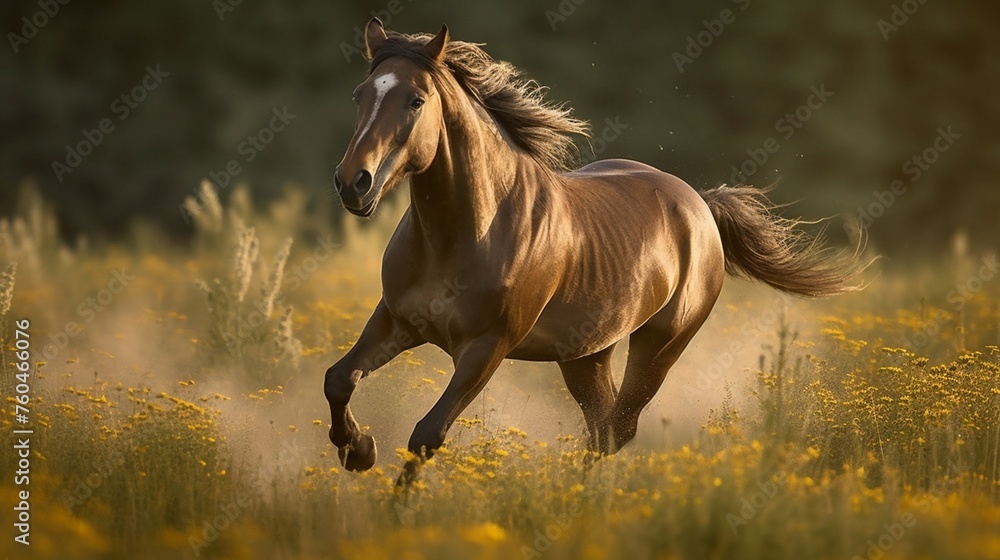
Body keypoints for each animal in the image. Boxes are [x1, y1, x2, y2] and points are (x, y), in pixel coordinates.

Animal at [325, 18, 861, 480]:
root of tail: (699, 205)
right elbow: (339, 379)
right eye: (358, 95)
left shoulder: (486, 348)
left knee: (618, 428)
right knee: (603, 429)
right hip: (587, 355)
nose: (354, 183)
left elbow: (427, 434)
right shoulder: (397, 320)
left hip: (658, 347)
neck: (461, 235)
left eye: (416, 100)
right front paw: (359, 451)